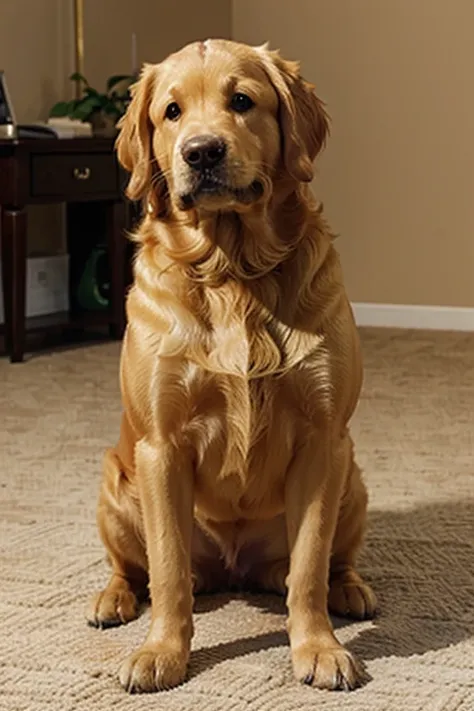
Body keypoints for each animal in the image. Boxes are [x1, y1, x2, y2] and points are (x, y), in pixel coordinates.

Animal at [87, 39, 376, 696]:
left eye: (242, 101)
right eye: (171, 112)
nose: (201, 151)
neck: (233, 269)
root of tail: (234, 570)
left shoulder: (323, 439)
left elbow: (309, 565)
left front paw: (318, 647)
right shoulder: (161, 446)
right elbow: (167, 571)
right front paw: (162, 652)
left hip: (352, 478)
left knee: (329, 561)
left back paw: (350, 589)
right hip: (115, 484)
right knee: (134, 569)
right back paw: (113, 599)